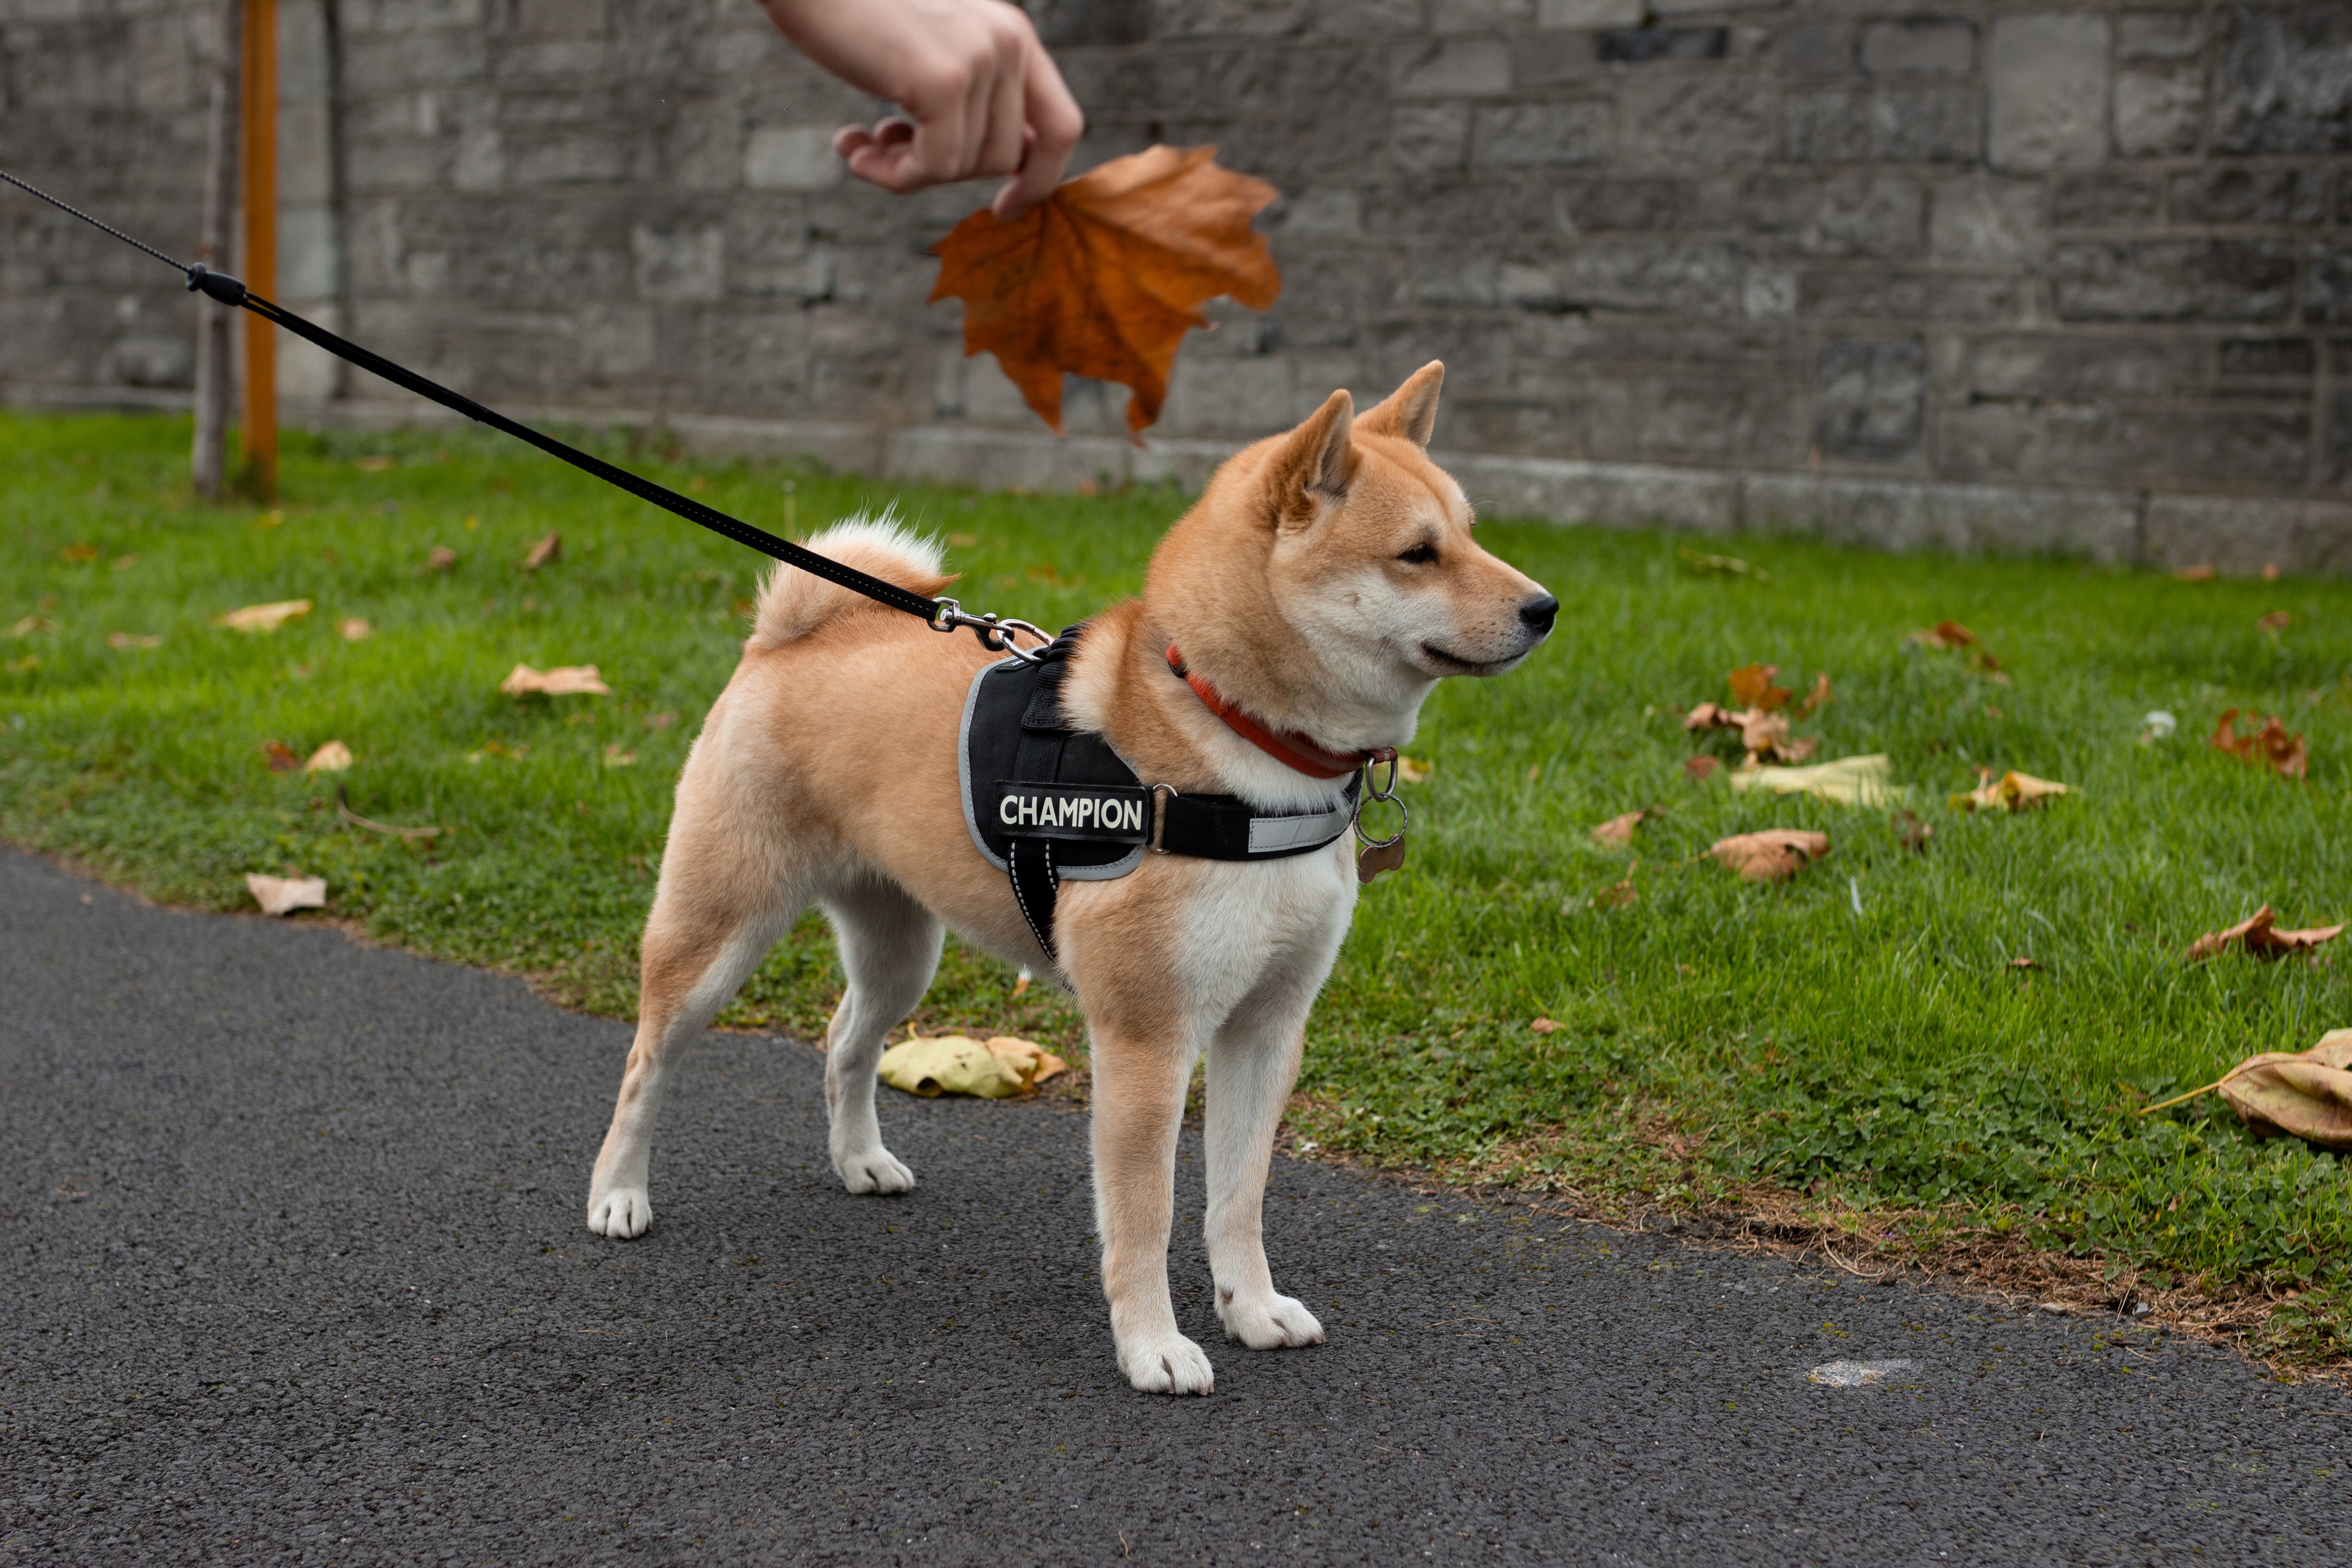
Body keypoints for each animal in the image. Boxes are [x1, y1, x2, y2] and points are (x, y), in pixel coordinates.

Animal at [581, 364, 1552, 1401]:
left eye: (1471, 532)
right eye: (1418, 553)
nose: (1545, 608)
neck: (1238, 734)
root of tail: (790, 639)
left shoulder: (1267, 1027)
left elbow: (1237, 1201)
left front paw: (1251, 1308)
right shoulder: (1146, 1040)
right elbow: (1146, 1215)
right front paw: (1153, 1345)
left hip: (900, 951)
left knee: (845, 1042)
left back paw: (860, 1162)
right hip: (716, 933)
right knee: (646, 1063)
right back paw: (619, 1194)